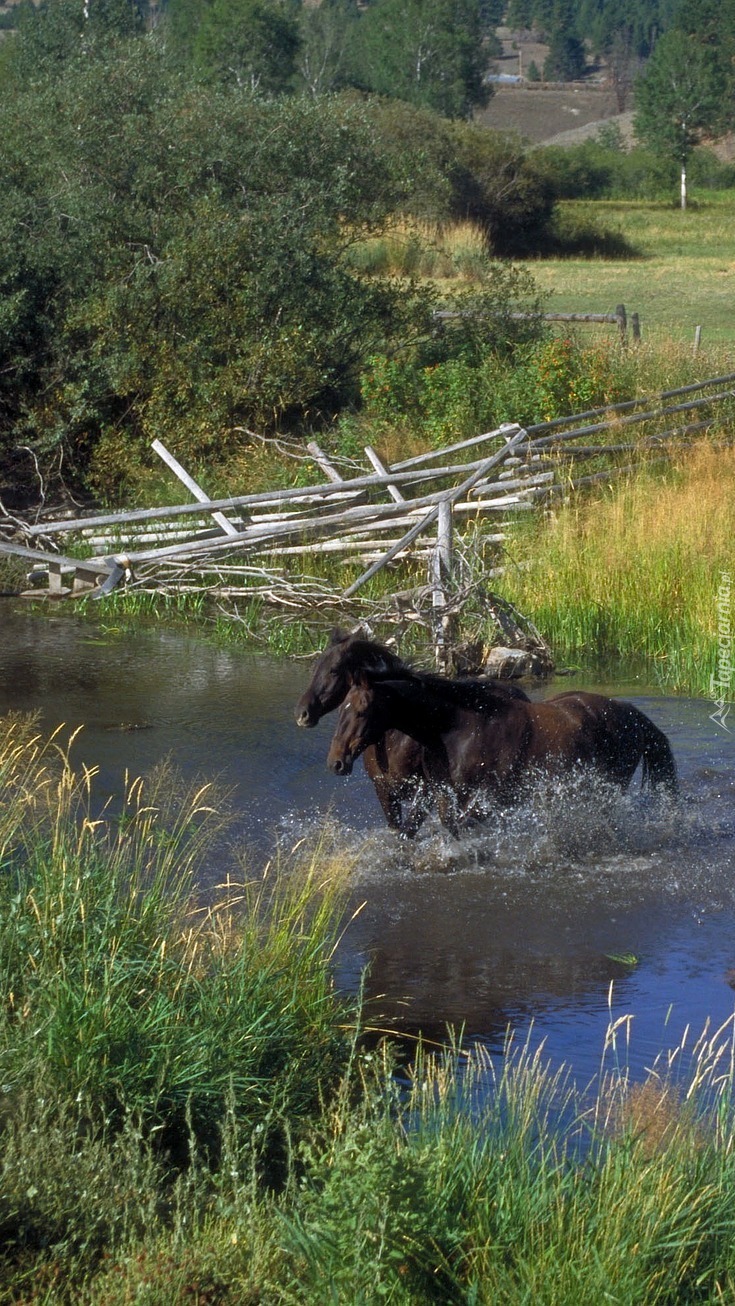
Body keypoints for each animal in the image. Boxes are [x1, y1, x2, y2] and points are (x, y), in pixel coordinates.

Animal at [296, 629, 532, 835]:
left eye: (334, 670)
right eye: (316, 667)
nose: (303, 714)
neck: (395, 739)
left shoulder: (425, 792)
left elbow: (408, 832)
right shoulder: (384, 792)